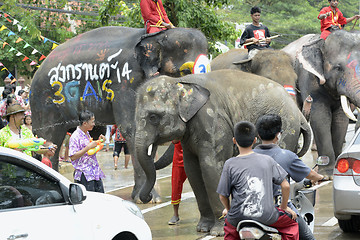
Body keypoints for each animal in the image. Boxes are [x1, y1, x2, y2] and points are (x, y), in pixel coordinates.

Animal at [30, 25, 208, 202]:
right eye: (185, 71)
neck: (155, 35)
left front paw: (149, 197)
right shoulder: (125, 80)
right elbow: (132, 129)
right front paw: (148, 200)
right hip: (44, 103)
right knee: (49, 140)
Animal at [134, 68, 310, 235]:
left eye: (153, 117)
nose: (148, 198)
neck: (181, 82)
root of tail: (298, 111)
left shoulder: (213, 121)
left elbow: (211, 168)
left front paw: (218, 231)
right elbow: (193, 171)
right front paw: (203, 228)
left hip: (286, 128)